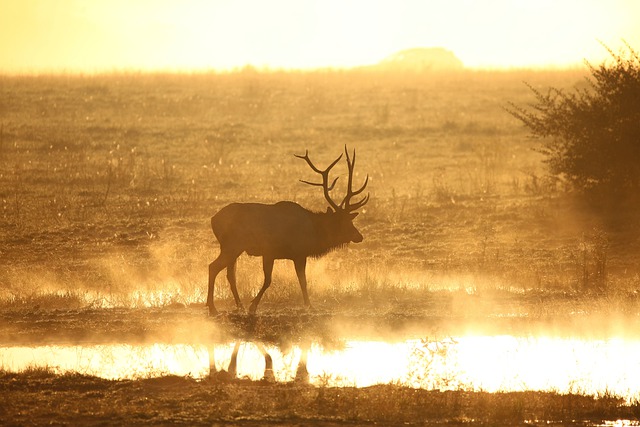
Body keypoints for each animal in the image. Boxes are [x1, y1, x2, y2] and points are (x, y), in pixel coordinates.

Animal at [209, 145, 370, 316]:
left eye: (350, 220)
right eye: (344, 222)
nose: (359, 236)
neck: (314, 232)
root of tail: (213, 220)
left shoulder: (283, 254)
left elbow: (292, 280)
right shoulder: (288, 252)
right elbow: (284, 280)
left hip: (234, 249)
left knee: (230, 274)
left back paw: (239, 306)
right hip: (231, 245)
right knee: (213, 267)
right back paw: (212, 307)